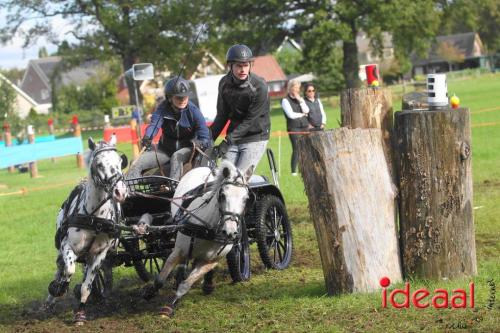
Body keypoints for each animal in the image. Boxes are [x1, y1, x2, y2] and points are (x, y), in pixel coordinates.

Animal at [44, 137, 128, 324]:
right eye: (99, 164)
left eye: (120, 162)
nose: (120, 191)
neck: (95, 219)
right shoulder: (67, 247)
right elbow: (68, 270)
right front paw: (59, 288)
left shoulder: (99, 254)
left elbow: (86, 287)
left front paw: (80, 314)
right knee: (61, 267)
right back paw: (50, 299)